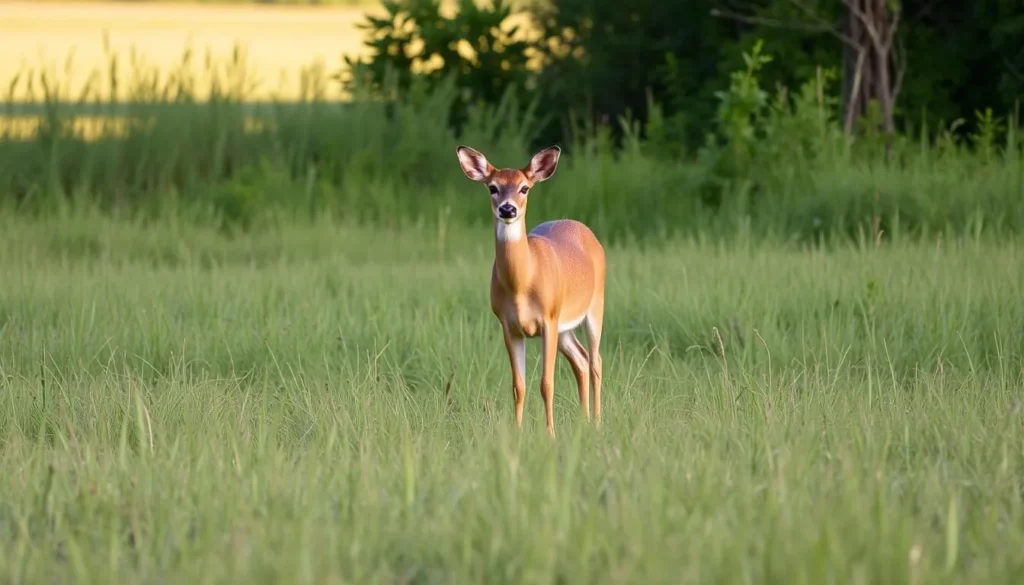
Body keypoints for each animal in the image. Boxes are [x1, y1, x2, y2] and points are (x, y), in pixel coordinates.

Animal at [455, 144, 606, 438]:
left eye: (524, 188)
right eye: (493, 187)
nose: (508, 209)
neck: (522, 283)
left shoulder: (548, 319)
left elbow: (546, 383)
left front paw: (550, 434)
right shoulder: (509, 326)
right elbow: (519, 386)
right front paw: (517, 433)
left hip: (594, 307)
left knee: (596, 362)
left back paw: (596, 422)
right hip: (565, 327)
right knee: (581, 360)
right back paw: (583, 422)